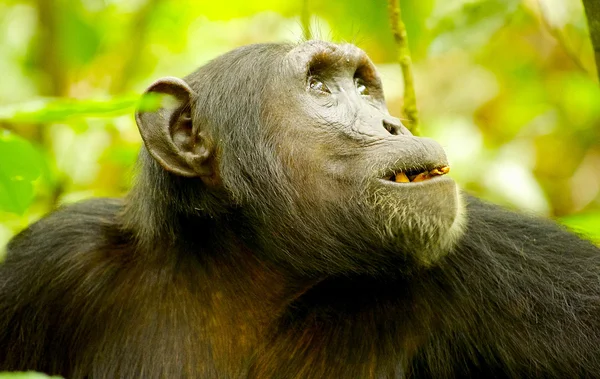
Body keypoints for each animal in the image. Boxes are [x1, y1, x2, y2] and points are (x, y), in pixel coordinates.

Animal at [1, 40, 600, 378]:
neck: (254, 272)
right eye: (317, 85)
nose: (393, 123)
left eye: (362, 86)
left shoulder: (521, 269)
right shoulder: (52, 261)